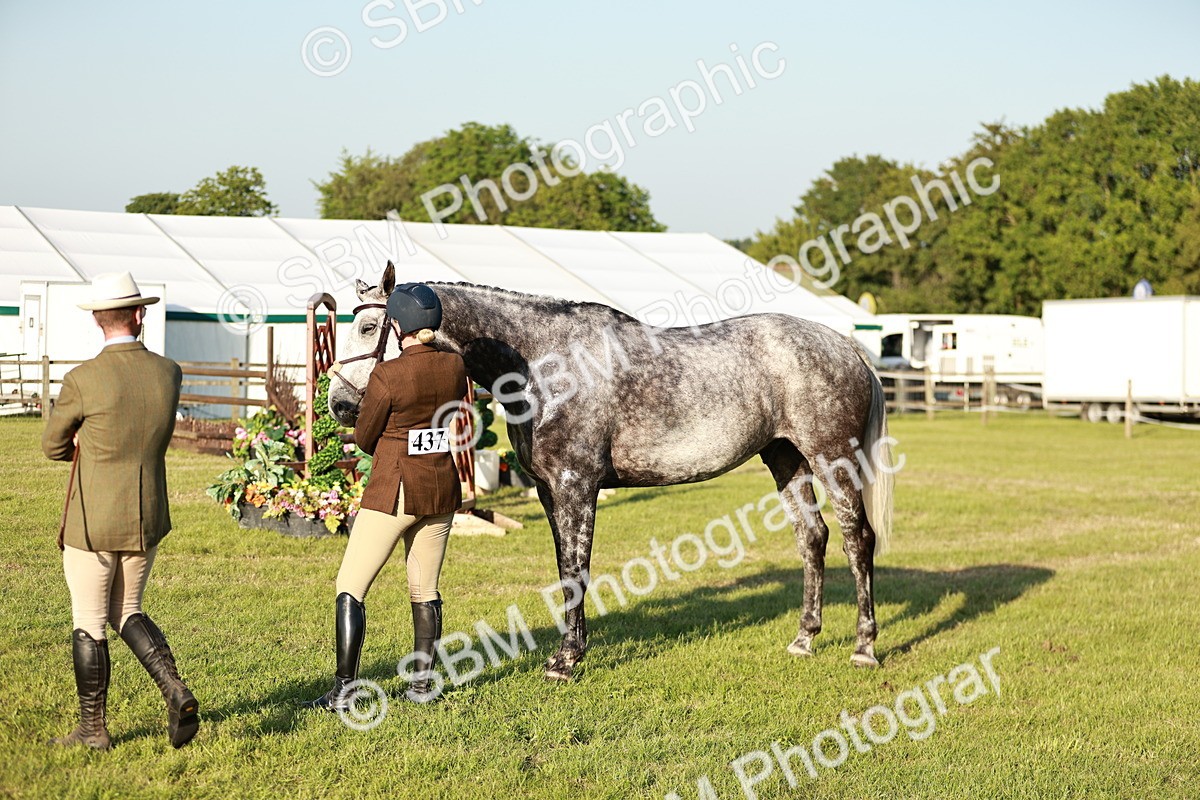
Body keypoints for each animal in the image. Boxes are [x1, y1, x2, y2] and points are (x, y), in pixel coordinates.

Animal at [327, 262, 894, 681]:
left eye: (369, 327)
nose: (340, 405)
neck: (543, 363)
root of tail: (846, 346)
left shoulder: (577, 486)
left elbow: (578, 570)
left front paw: (566, 661)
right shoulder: (549, 492)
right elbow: (565, 570)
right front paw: (568, 652)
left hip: (832, 457)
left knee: (857, 539)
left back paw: (864, 647)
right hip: (785, 457)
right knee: (812, 538)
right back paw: (804, 639)